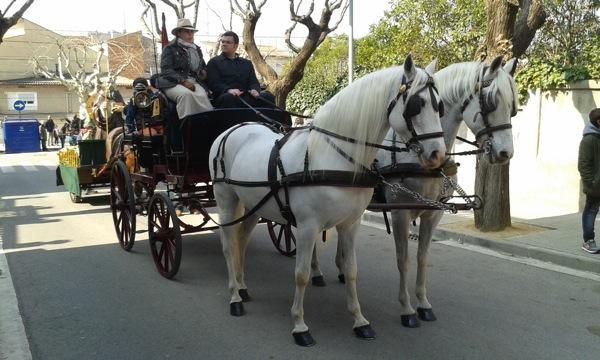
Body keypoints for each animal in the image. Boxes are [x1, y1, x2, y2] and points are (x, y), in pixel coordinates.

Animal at [209, 55, 448, 346]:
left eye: (440, 107)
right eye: (416, 105)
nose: (438, 155)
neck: (333, 156)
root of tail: (234, 128)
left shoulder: (350, 224)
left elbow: (352, 269)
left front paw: (359, 321)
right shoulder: (307, 227)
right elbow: (301, 275)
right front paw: (300, 325)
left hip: (254, 205)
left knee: (241, 241)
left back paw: (242, 287)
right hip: (225, 199)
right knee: (228, 245)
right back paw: (234, 297)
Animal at [310, 55, 516, 326]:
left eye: (513, 107)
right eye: (491, 102)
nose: (505, 153)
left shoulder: (433, 214)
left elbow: (422, 258)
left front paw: (423, 303)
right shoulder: (400, 213)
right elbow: (403, 260)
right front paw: (407, 308)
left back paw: (342, 267)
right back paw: (315, 271)